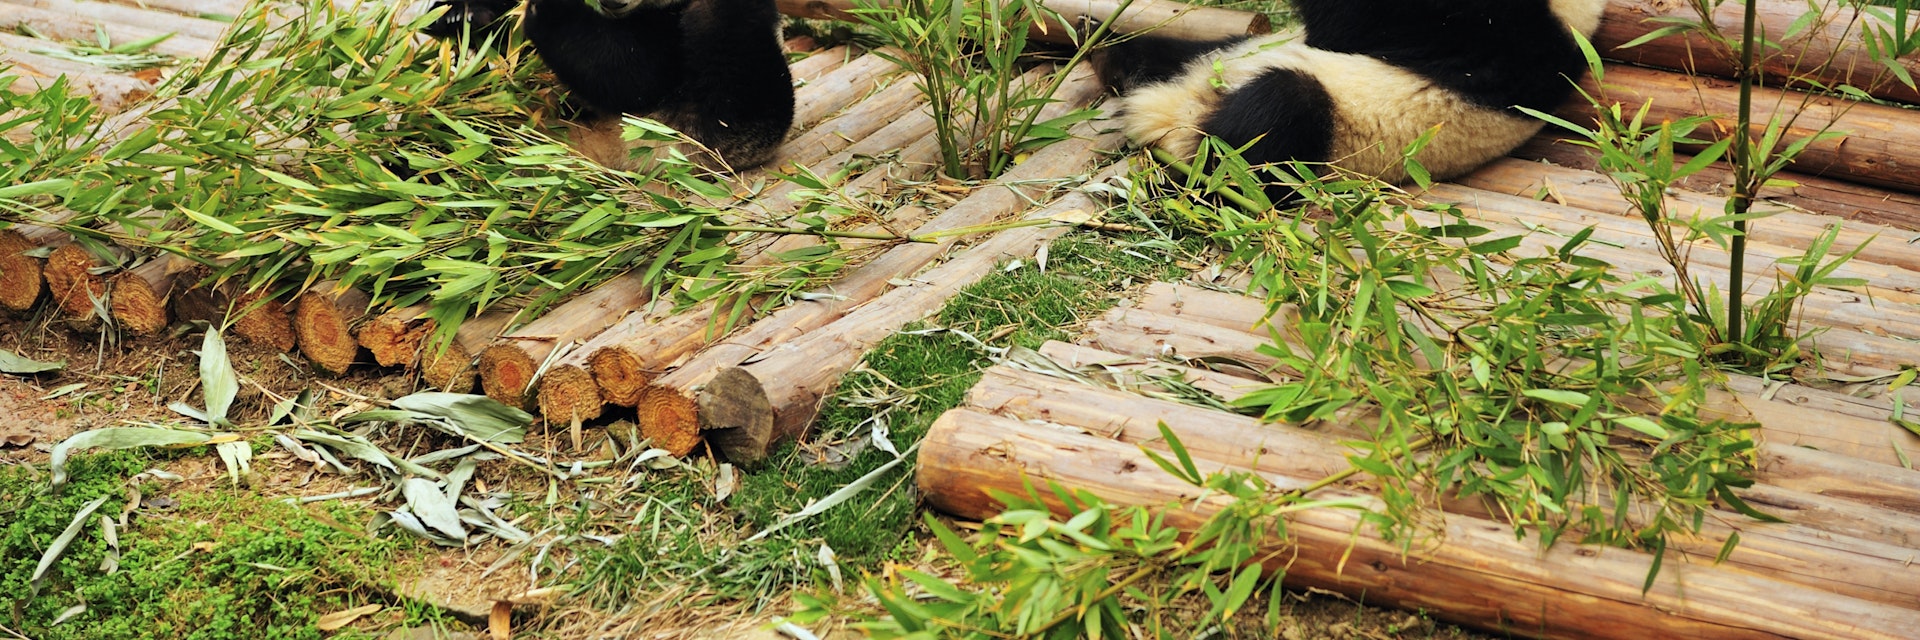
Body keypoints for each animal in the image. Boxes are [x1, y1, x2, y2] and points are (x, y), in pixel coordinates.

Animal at [1093, 0, 1608, 199]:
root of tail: (1173, 113)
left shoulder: (1507, 45)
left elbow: (1348, 27)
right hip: (1226, 52)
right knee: (1166, 51)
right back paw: (1106, 54)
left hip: (1325, 134)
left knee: (1273, 118)